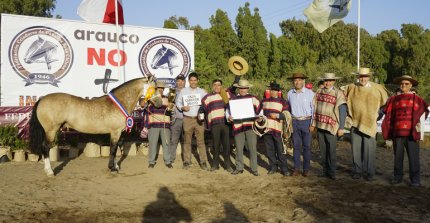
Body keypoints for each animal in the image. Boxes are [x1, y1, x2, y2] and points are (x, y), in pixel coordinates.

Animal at [29, 77, 160, 177]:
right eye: (154, 88)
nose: (159, 103)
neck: (119, 103)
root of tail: (42, 99)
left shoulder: (118, 133)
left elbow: (116, 148)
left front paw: (116, 166)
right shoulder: (115, 132)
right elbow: (113, 149)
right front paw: (112, 168)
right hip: (51, 130)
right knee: (45, 147)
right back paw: (50, 172)